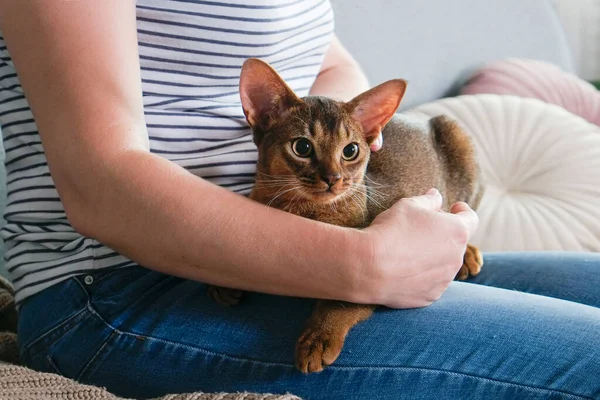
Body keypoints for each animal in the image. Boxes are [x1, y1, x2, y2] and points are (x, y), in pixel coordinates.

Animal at [209, 58, 486, 376]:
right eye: (302, 147)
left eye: (350, 150)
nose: (332, 178)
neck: (302, 212)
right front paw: (221, 279)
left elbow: (343, 301)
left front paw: (319, 336)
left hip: (458, 138)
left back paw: (467, 253)